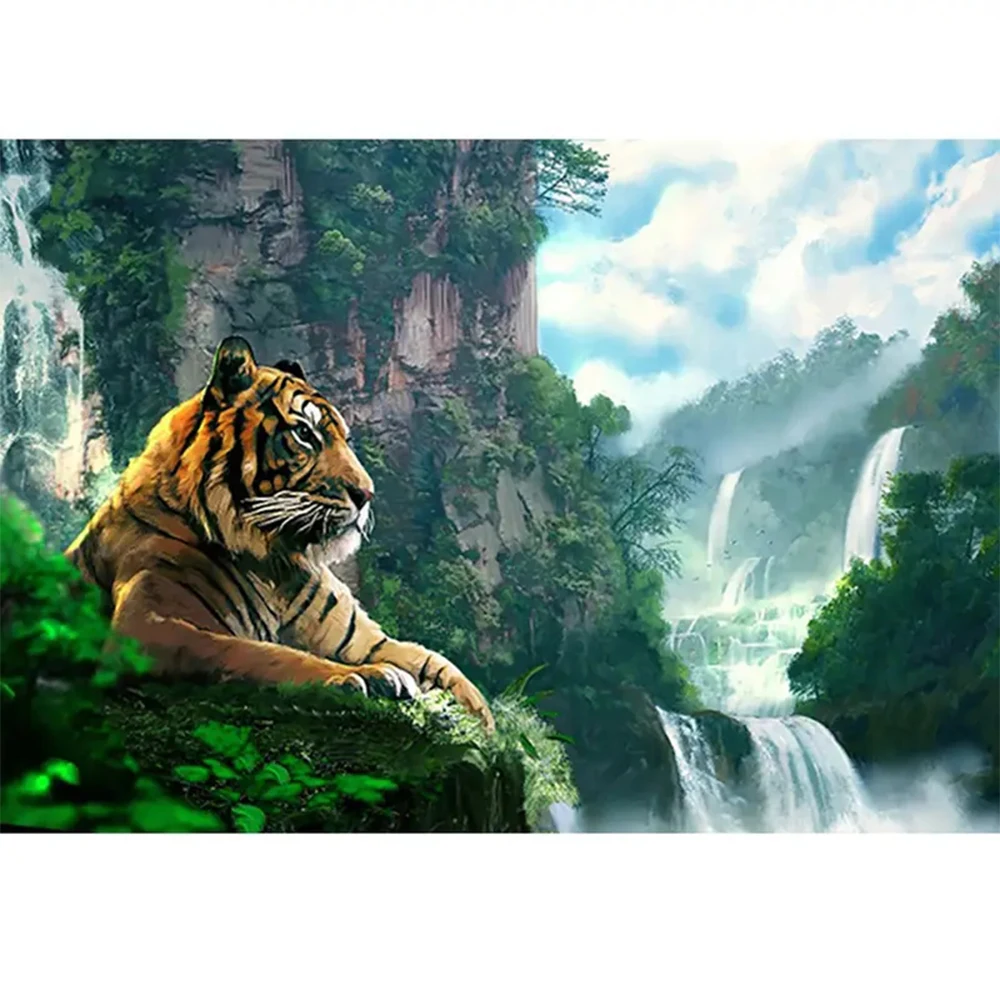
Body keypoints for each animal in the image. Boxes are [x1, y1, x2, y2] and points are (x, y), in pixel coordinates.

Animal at [64, 335, 495, 733]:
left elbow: (438, 665)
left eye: (345, 438)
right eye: (304, 433)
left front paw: (485, 724)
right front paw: (364, 677)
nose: (367, 494)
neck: (275, 560)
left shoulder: (363, 641)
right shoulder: (148, 625)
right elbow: (258, 653)